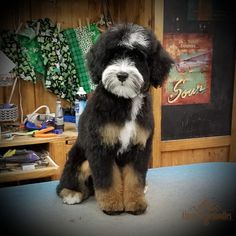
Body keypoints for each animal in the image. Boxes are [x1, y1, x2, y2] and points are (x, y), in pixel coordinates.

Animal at [56, 23, 172, 214]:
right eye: (112, 56)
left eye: (137, 57)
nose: (122, 75)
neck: (124, 100)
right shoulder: (101, 147)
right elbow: (107, 178)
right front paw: (111, 204)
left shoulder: (139, 147)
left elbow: (135, 178)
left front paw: (136, 202)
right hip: (79, 160)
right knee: (67, 181)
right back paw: (72, 192)